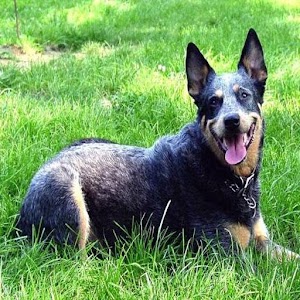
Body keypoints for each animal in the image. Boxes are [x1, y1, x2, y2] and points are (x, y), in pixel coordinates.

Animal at [17, 29, 300, 262]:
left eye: (244, 95)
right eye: (212, 102)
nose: (231, 121)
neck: (233, 179)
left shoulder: (263, 241)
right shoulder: (226, 254)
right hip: (67, 191)